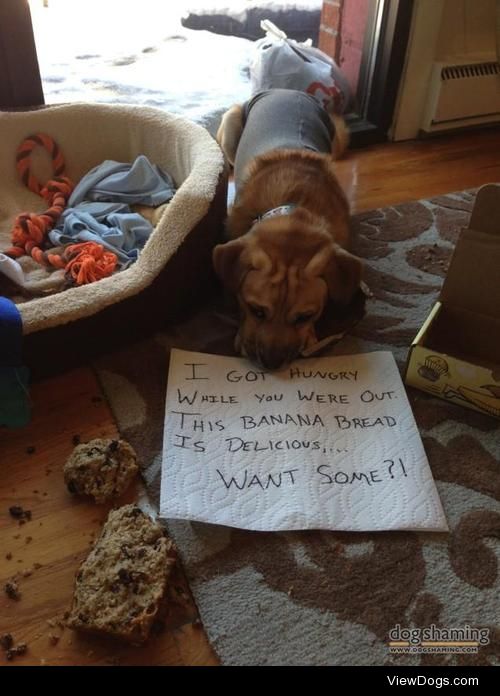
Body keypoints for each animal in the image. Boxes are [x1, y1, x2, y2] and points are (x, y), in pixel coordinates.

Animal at [213, 88, 362, 370]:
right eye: (256, 310)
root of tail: (285, 90)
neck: (293, 206)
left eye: (305, 316)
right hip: (230, 125)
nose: (271, 364)